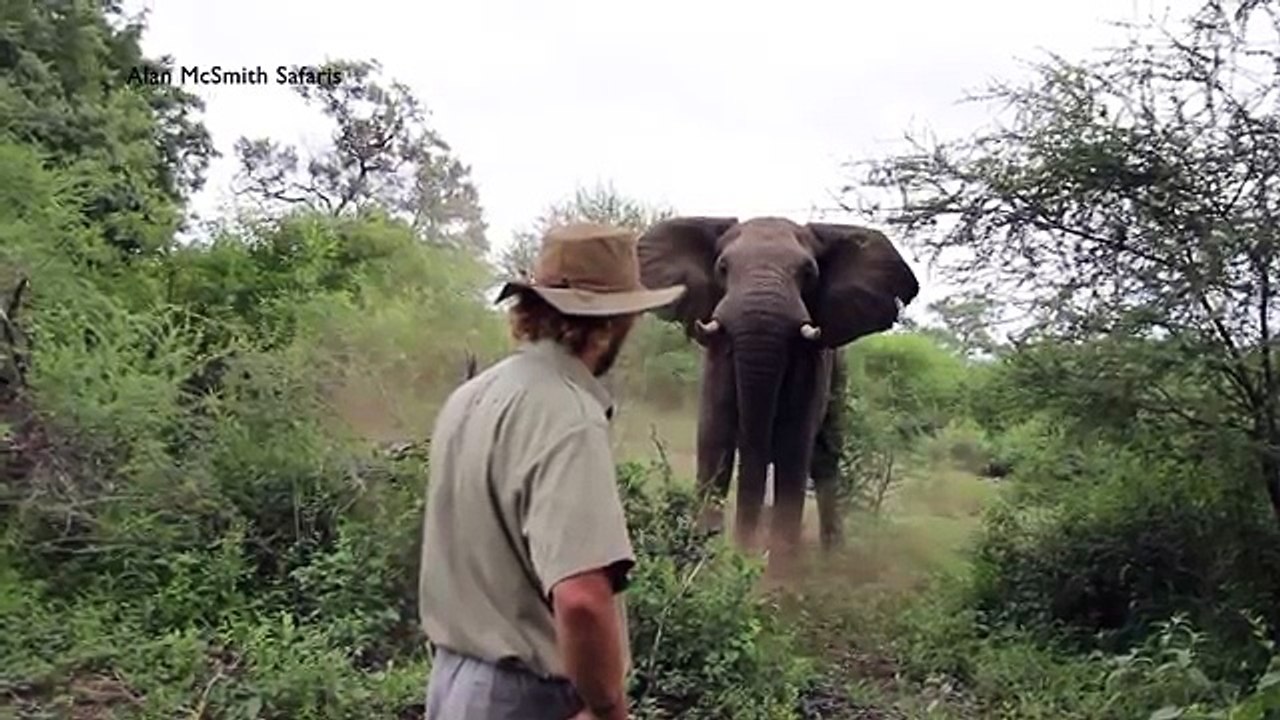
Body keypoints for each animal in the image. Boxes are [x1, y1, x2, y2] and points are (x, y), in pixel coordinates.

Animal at [635, 216, 919, 561]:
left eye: (808, 273)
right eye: (722, 268)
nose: (743, 550)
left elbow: (793, 447)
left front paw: (776, 568)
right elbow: (715, 440)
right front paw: (706, 552)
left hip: (840, 377)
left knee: (825, 460)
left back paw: (831, 557)